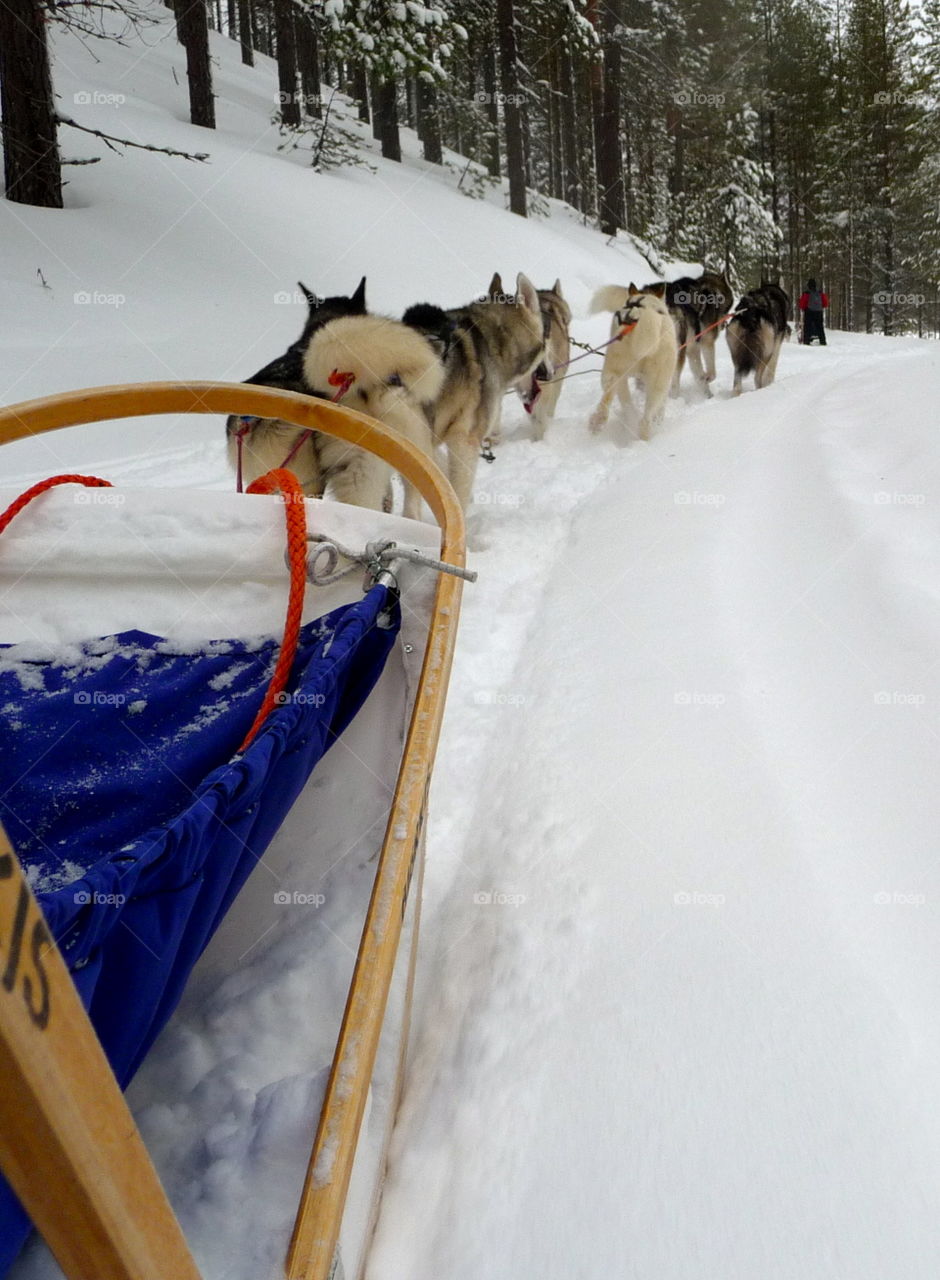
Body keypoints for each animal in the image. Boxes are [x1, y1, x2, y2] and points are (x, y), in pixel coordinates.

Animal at [589, 281, 676, 437]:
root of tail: (642, 314)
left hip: (614, 373)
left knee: (614, 398)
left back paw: (601, 421)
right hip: (657, 383)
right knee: (645, 417)